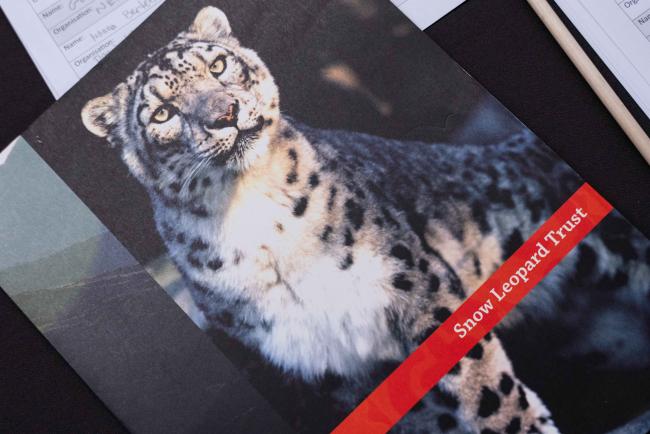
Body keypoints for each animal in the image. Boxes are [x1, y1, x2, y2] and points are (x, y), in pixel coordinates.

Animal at [81, 6, 650, 433]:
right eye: (162, 114)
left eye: (219, 66)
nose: (224, 113)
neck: (248, 209)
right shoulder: (340, 366)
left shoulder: (416, 289)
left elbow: (483, 386)